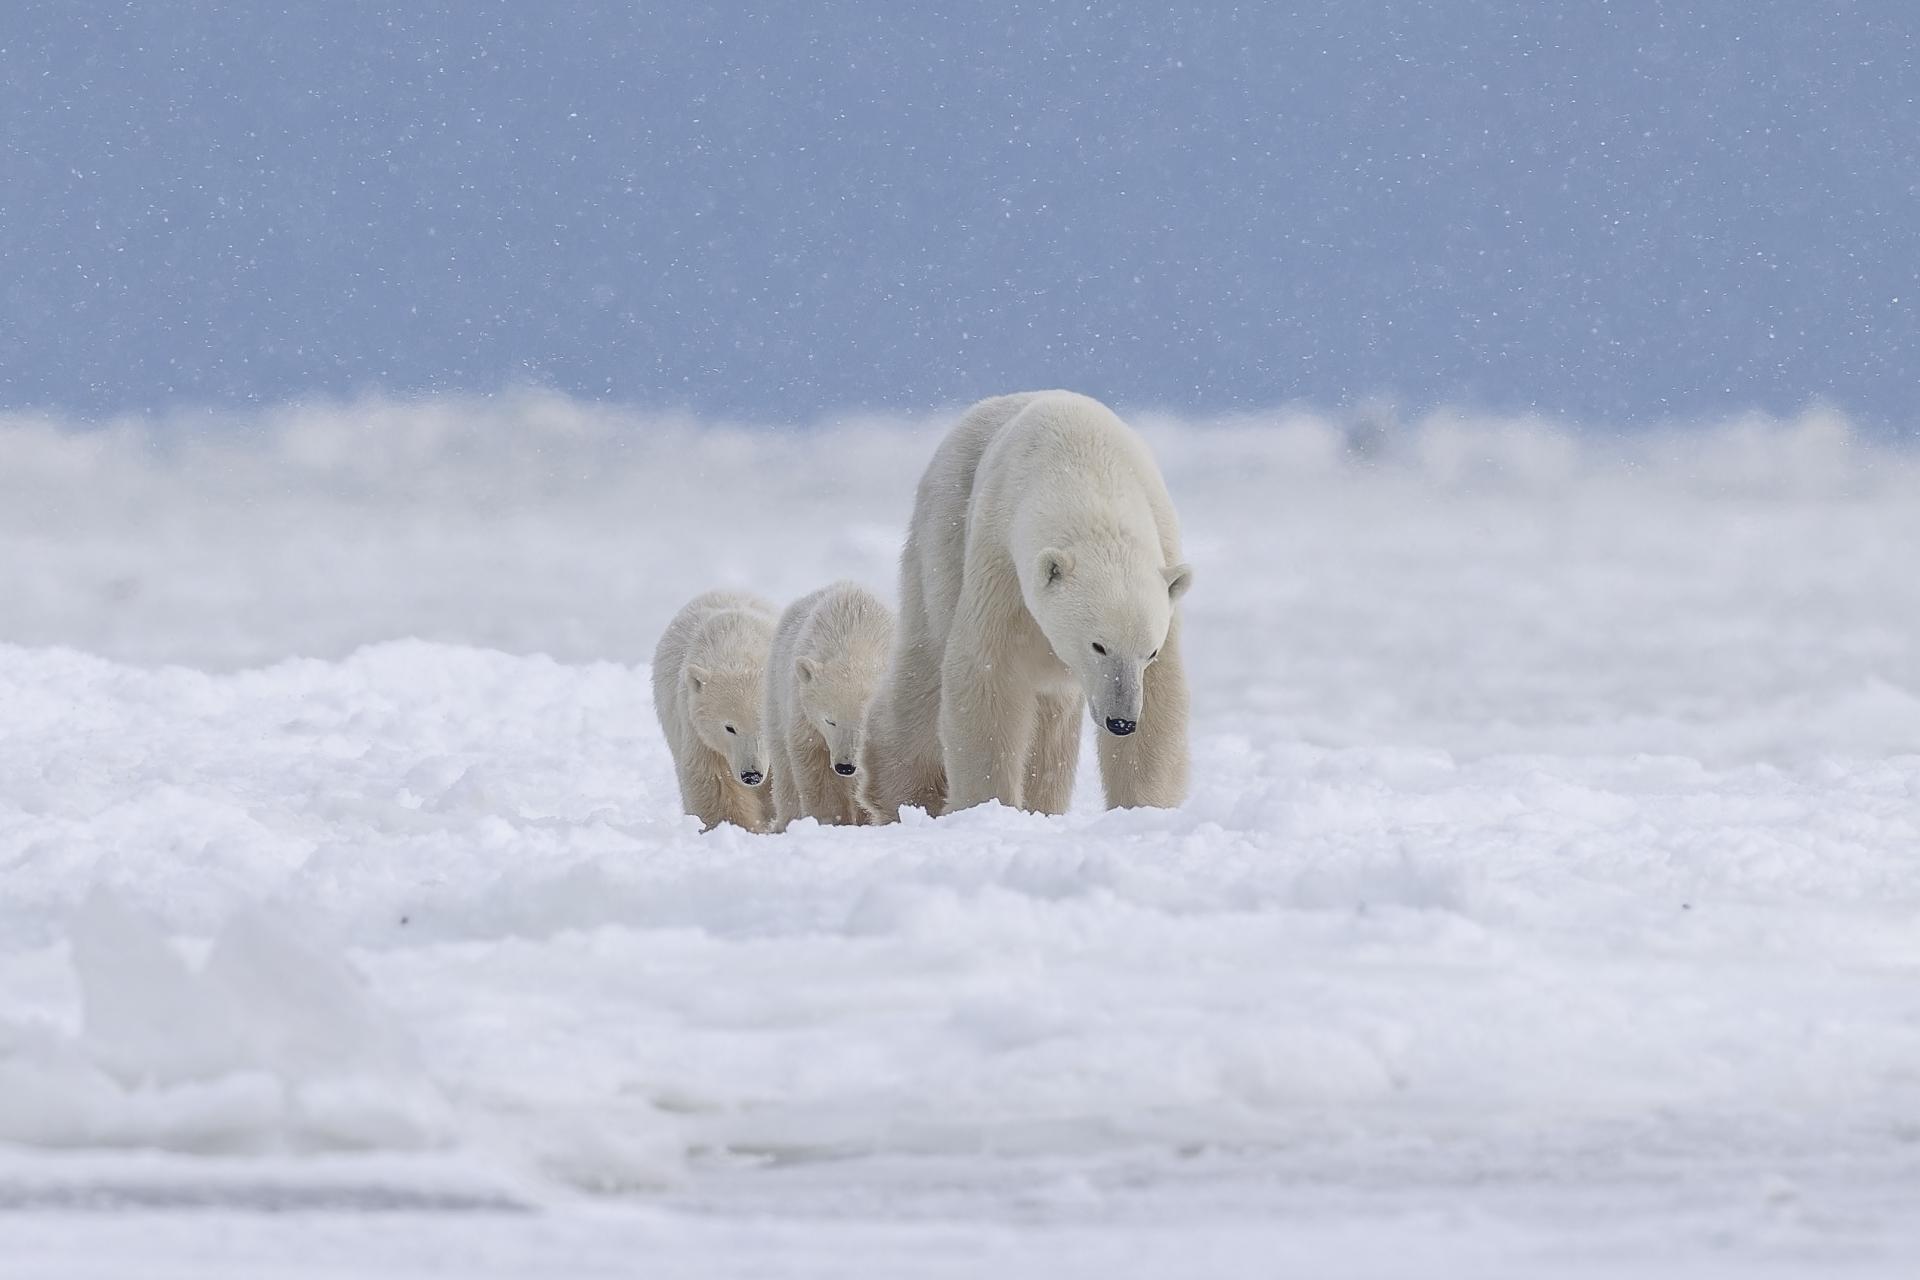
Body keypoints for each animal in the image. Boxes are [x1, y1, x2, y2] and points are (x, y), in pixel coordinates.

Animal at [864, 391, 1190, 821]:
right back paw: (904, 795)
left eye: (1148, 651)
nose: (1120, 721)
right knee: (925, 667)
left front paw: (1143, 809)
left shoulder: (1162, 558)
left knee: (1053, 718)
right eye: (1098, 645)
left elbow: (1161, 696)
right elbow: (988, 674)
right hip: (942, 535)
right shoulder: (1000, 555)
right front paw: (987, 806)